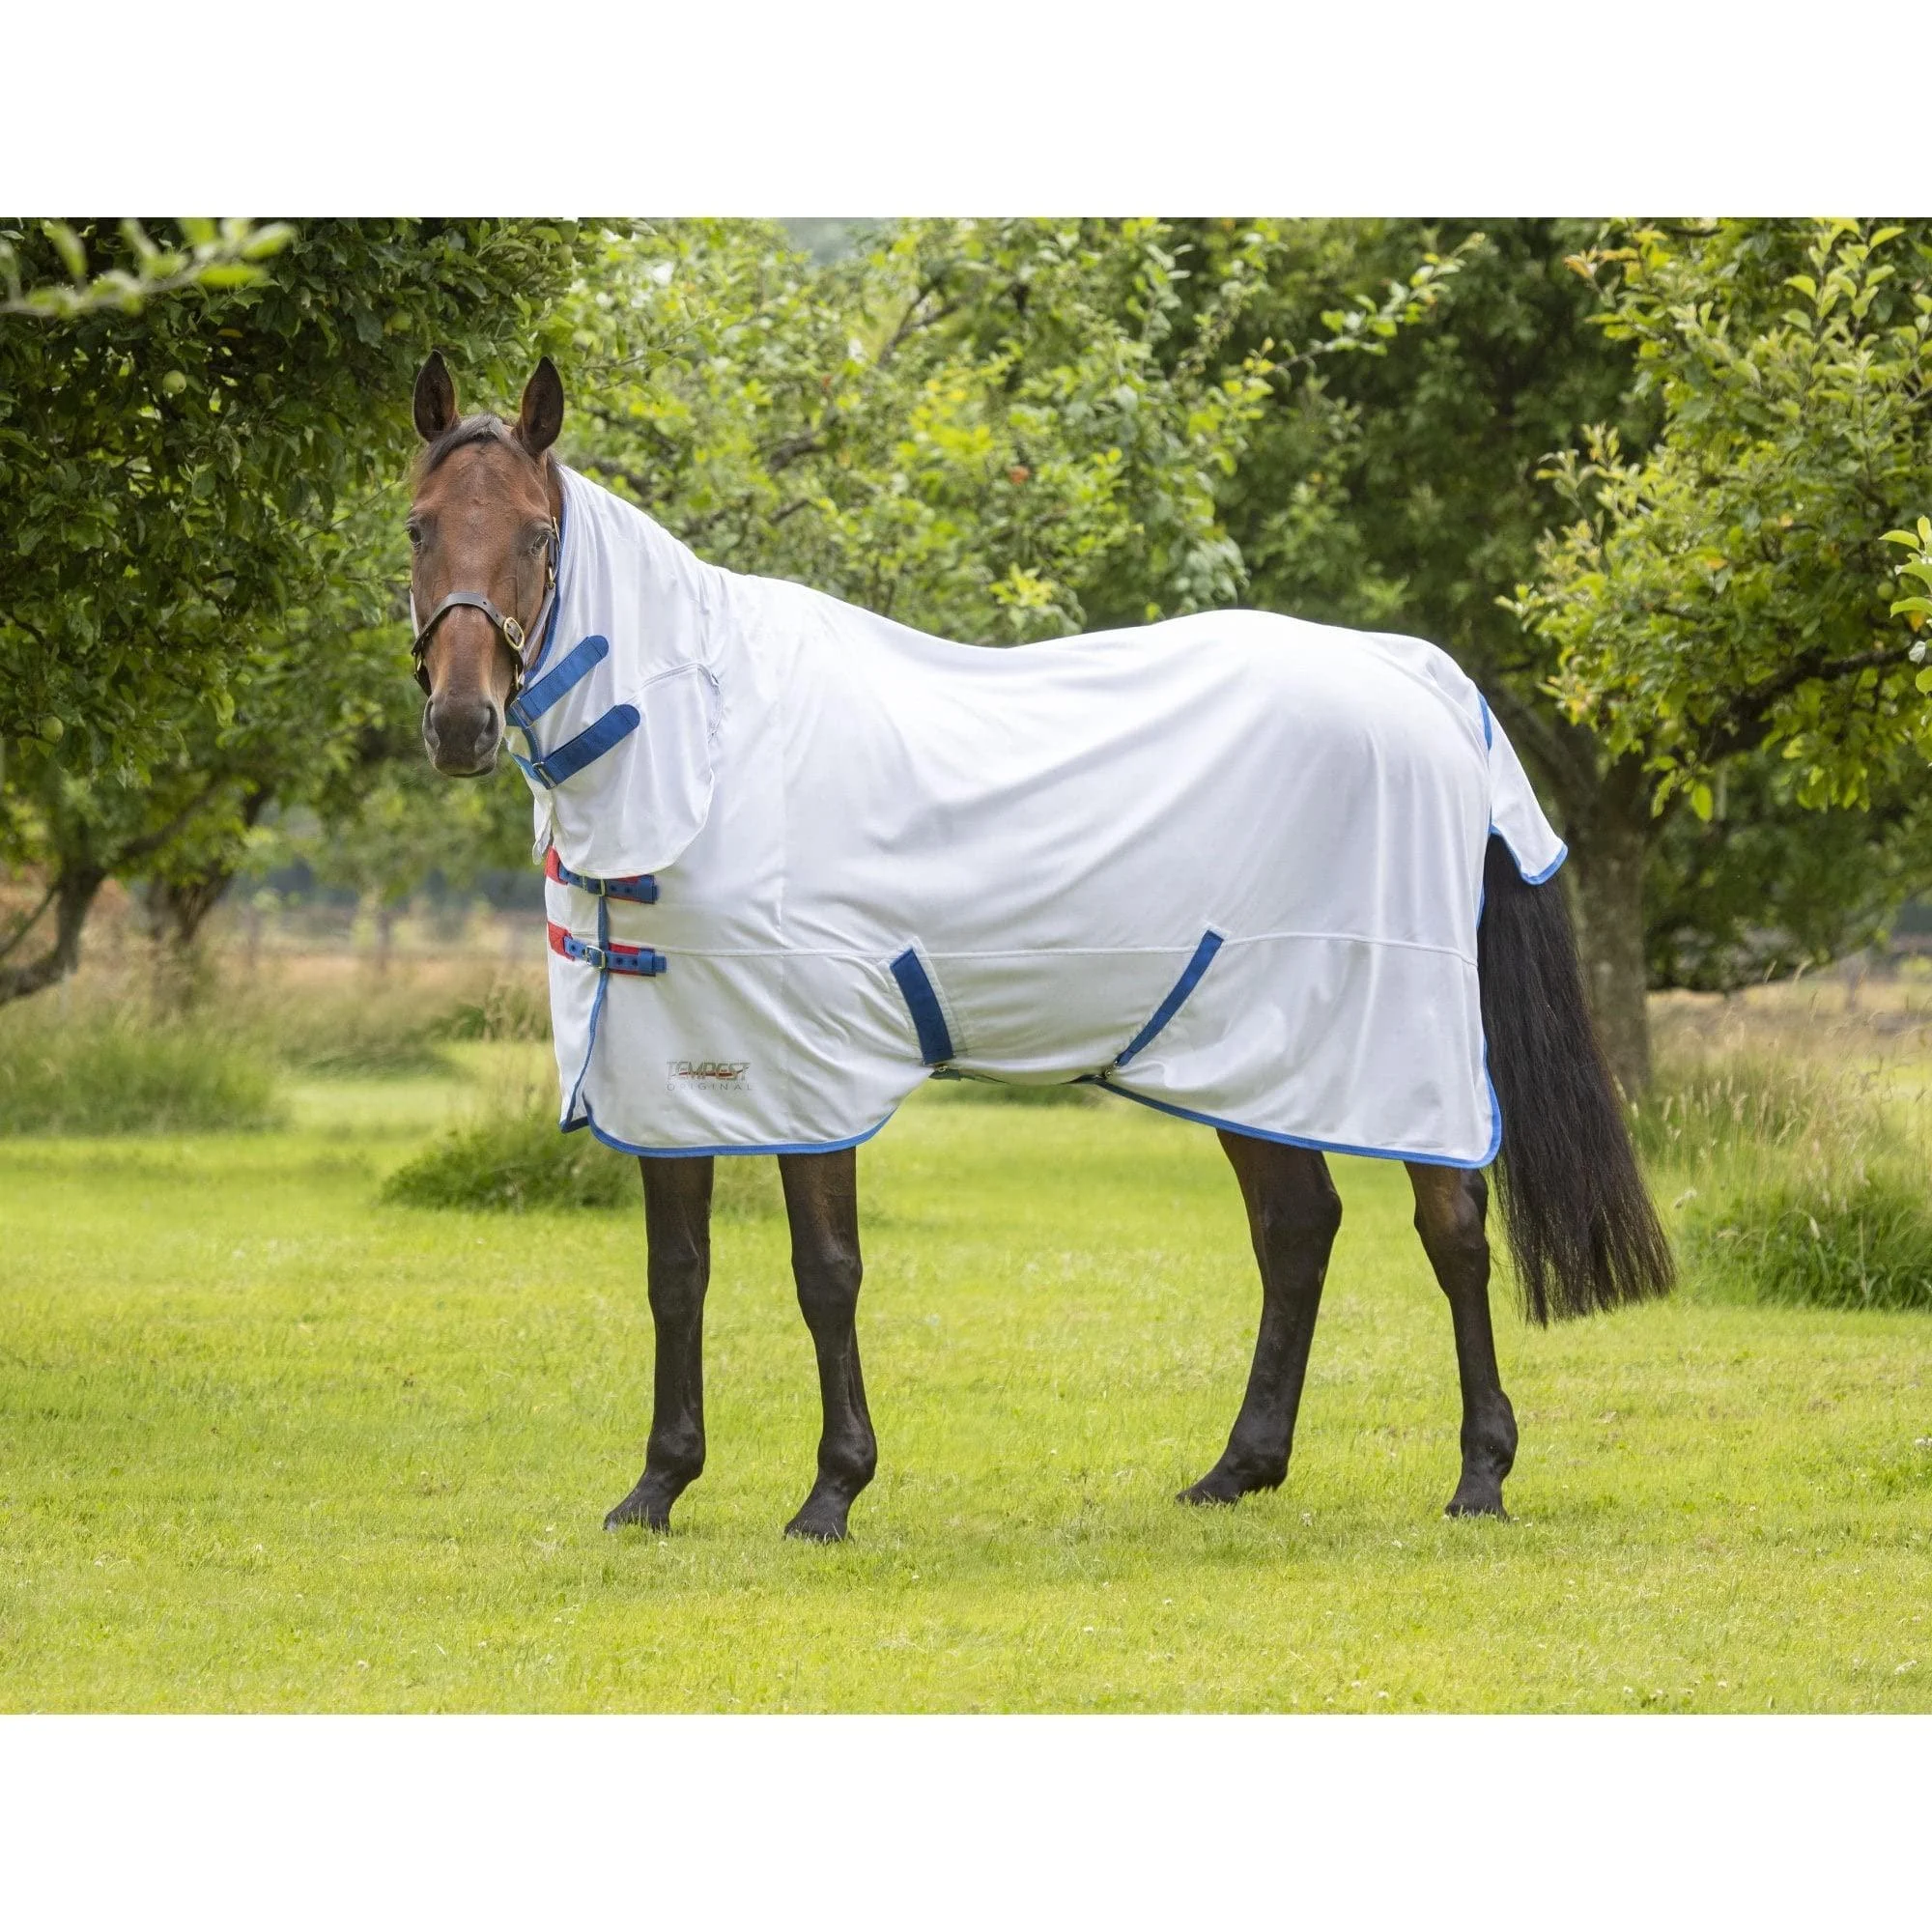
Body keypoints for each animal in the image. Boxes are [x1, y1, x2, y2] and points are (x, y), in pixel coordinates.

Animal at [404, 352, 1673, 1542]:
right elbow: (676, 1274)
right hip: (1251, 1049)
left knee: (1450, 1228)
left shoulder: (807, 1067)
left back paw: (1479, 1476)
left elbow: (826, 1273)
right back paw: (1235, 1470)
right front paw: (657, 1487)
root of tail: (1415, 677)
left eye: (535, 534)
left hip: (1392, 1048)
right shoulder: (670, 1071)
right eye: (418, 524)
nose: (461, 723)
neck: (708, 744)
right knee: (1296, 1227)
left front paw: (830, 1492)